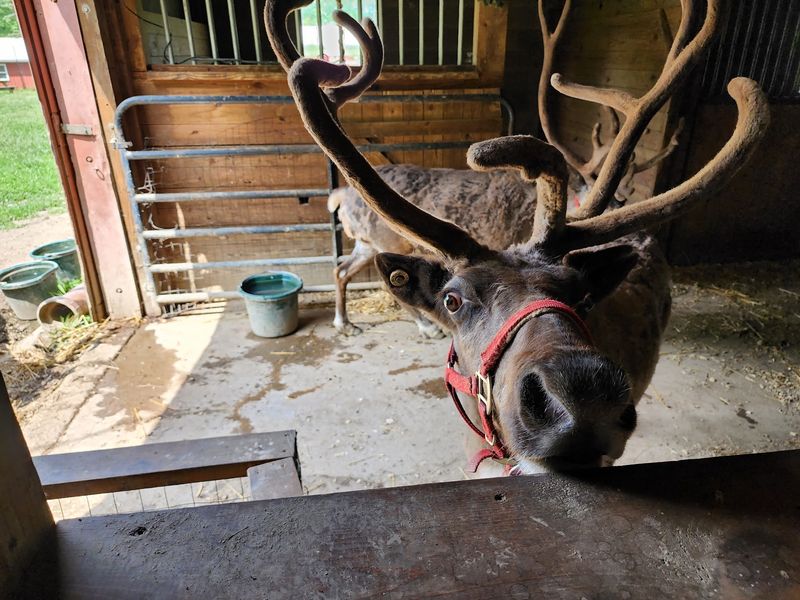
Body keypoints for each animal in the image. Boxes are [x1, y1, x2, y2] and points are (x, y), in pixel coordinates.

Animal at [325, 0, 684, 338]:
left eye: (624, 200)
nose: (645, 243)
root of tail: (341, 195)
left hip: (367, 241)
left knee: (342, 270)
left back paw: (344, 322)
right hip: (387, 242)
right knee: (386, 285)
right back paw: (425, 327)